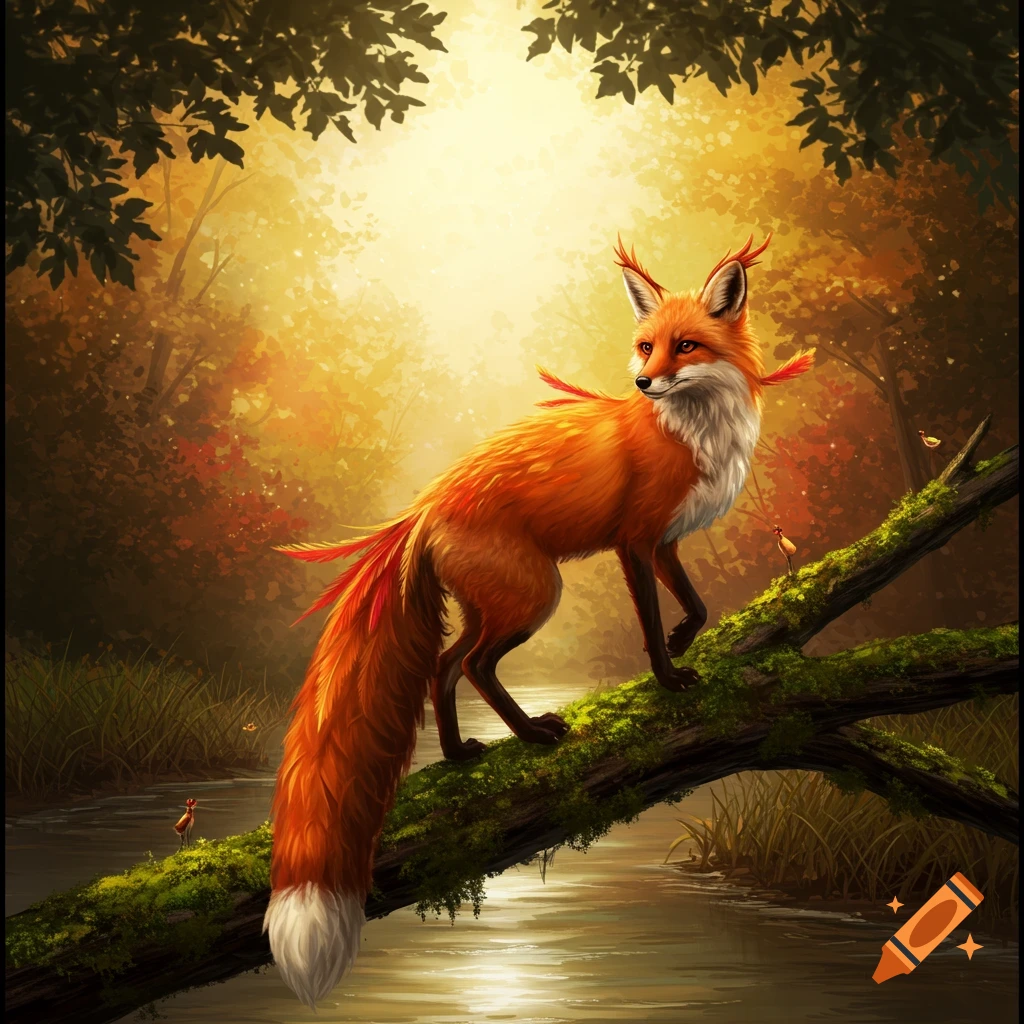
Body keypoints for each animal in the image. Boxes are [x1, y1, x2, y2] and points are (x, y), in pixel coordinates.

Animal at [263, 234, 813, 1007]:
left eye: (686, 345)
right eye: (645, 346)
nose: (643, 383)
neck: (691, 433)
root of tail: (426, 504)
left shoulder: (667, 542)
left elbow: (699, 605)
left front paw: (685, 642)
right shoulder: (635, 541)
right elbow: (649, 624)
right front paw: (668, 677)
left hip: (497, 602)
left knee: (445, 665)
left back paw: (461, 754)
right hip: (534, 595)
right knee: (474, 665)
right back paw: (529, 735)